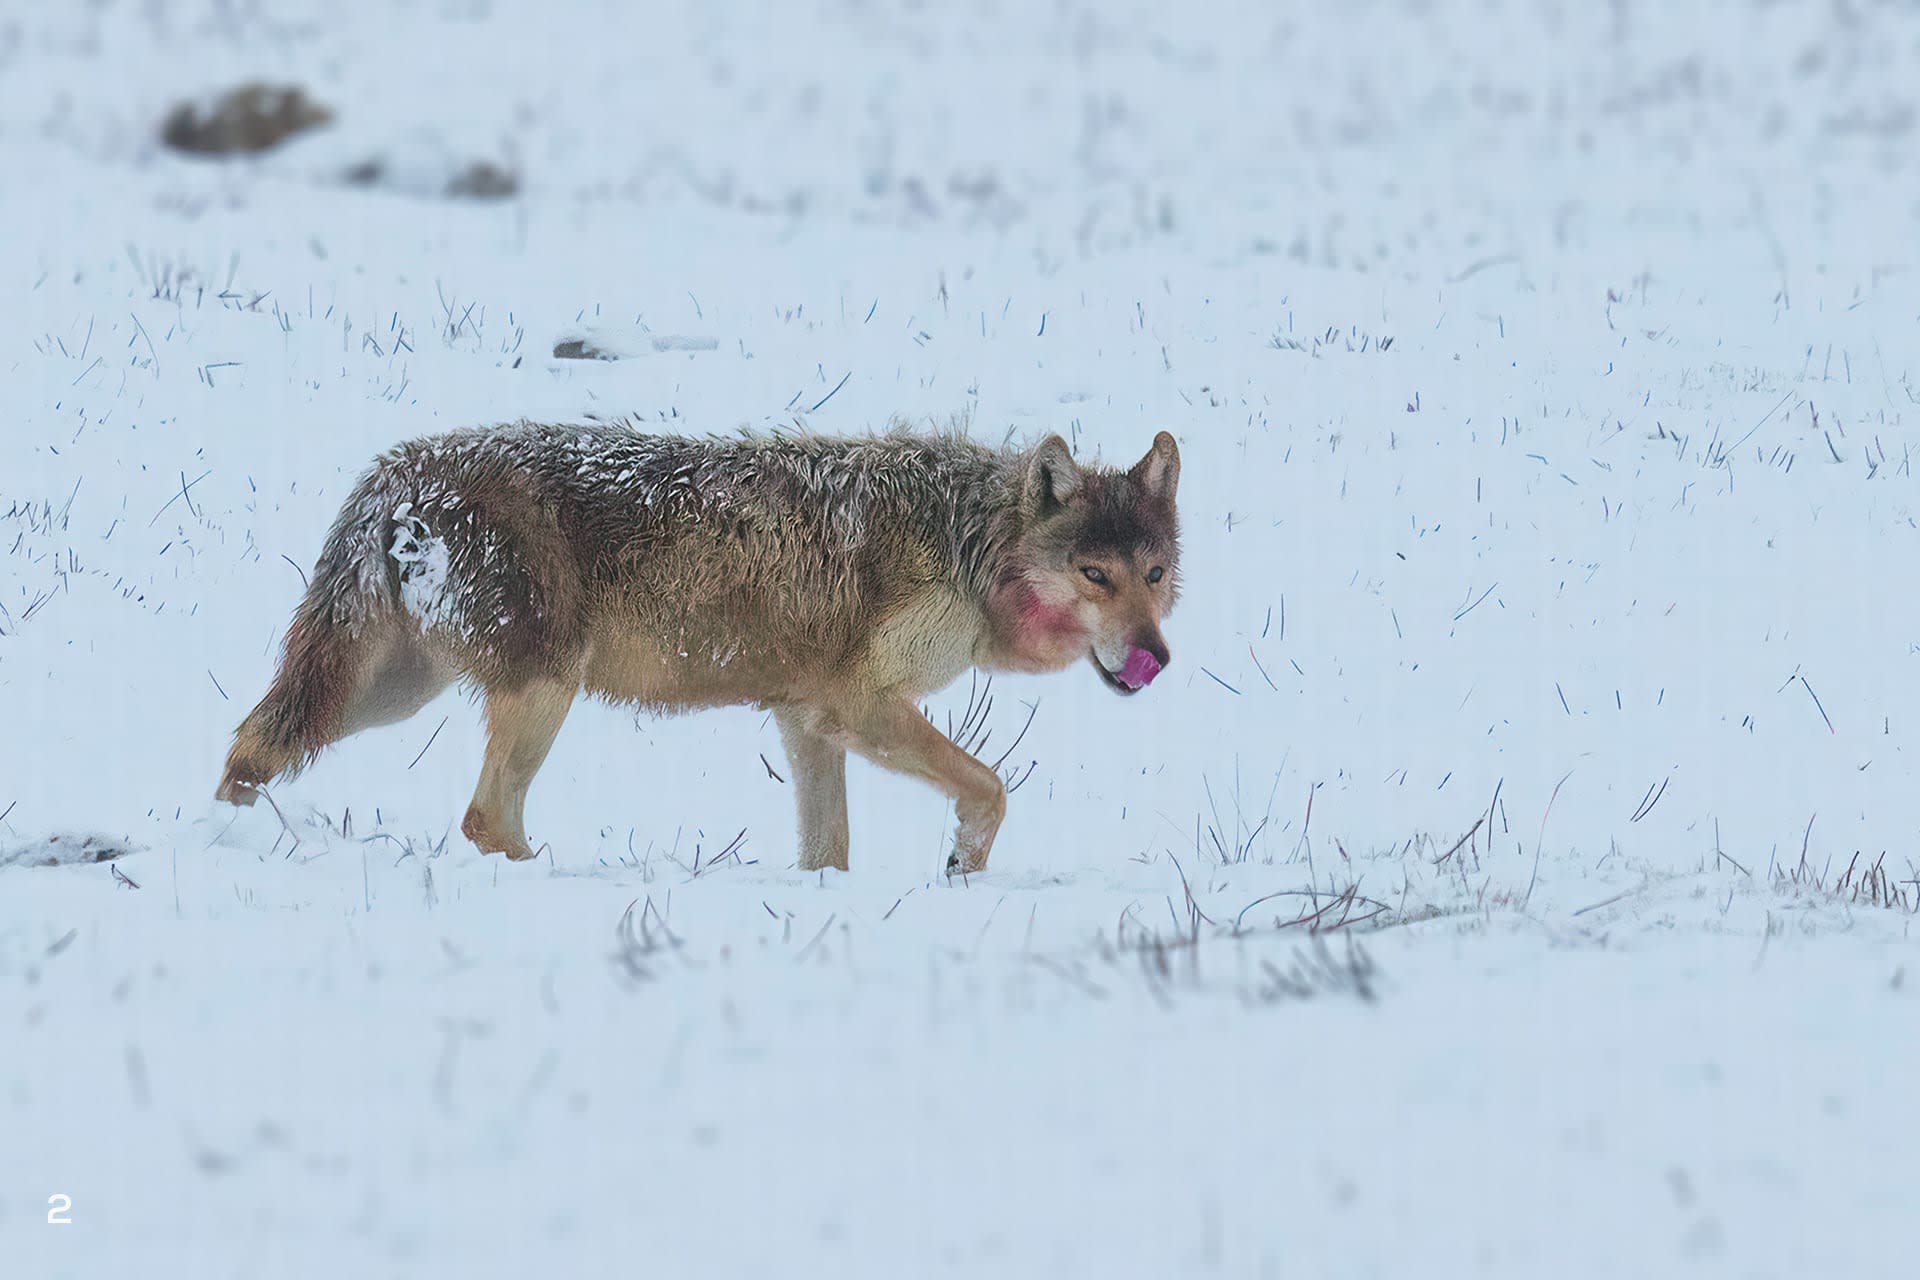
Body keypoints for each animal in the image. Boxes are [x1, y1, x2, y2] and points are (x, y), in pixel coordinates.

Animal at [215, 421, 1181, 872]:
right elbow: (991, 787)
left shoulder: (807, 719)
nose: (1158, 658)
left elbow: (828, 851)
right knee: (485, 819)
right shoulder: (859, 706)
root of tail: (396, 469)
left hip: (388, 694)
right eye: (1096, 576)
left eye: (1156, 574)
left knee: (249, 748)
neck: (965, 547)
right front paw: (961, 865)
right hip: (540, 690)